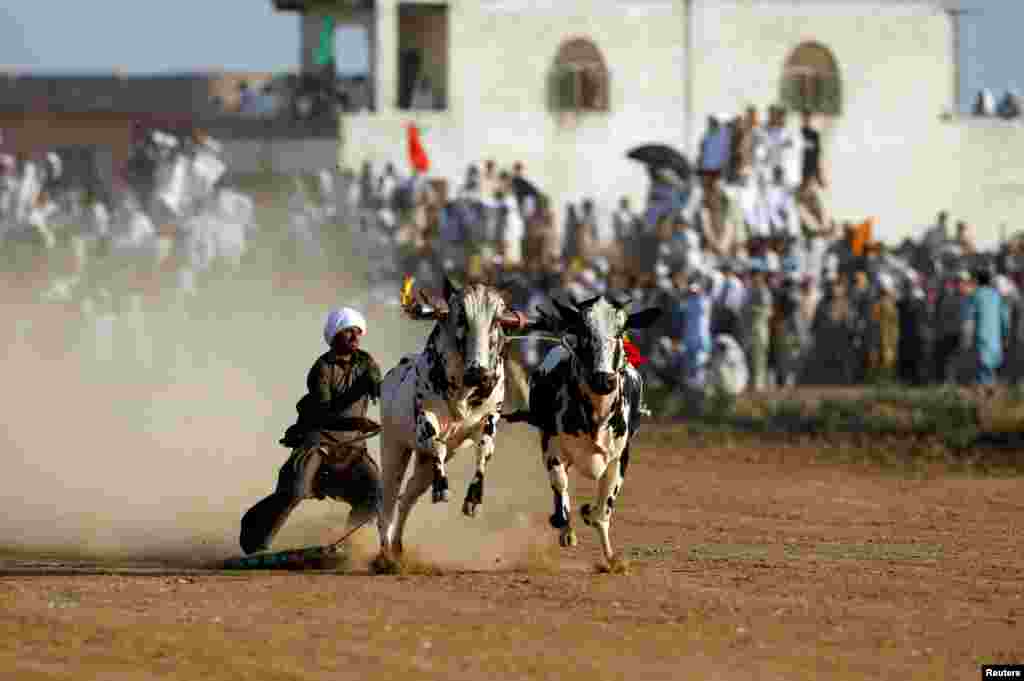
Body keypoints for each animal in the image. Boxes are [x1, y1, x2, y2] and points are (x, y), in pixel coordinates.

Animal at [372, 278, 524, 569]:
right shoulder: (426, 421)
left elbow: (484, 451)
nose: (479, 373)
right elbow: (438, 445)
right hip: (394, 446)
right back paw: (384, 555)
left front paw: (473, 500)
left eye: (497, 319)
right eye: (460, 317)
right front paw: (442, 490)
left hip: (421, 464)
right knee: (387, 500)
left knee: (407, 497)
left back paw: (397, 548)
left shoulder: (488, 420)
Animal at [505, 296, 663, 569]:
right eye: (583, 331)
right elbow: (560, 487)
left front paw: (611, 559)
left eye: (620, 332)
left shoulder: (620, 457)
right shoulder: (552, 447)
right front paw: (566, 528)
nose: (604, 380)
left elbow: (602, 511)